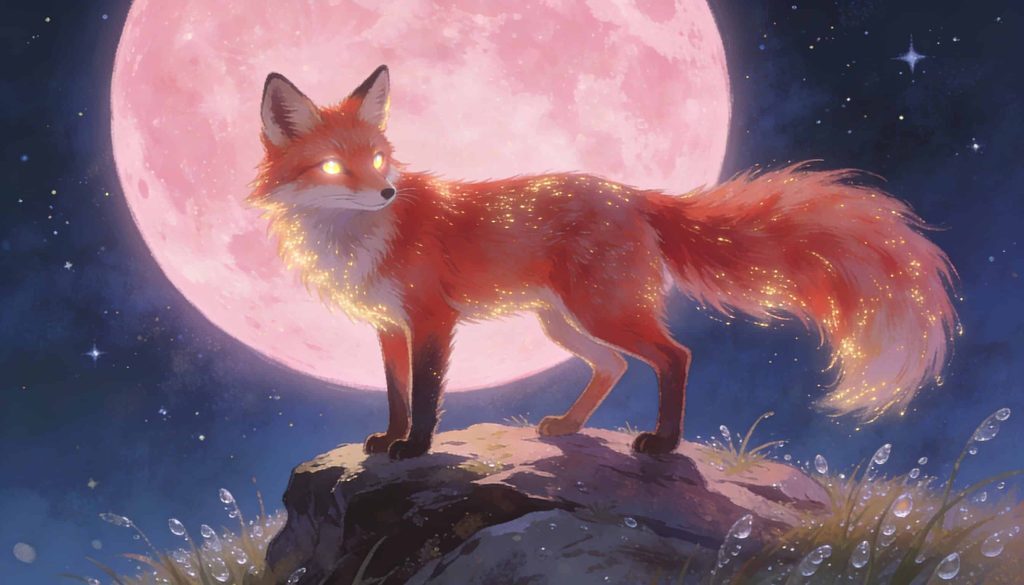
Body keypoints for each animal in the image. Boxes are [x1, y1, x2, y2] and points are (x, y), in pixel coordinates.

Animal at [247, 65, 957, 460]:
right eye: (336, 167)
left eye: (379, 159)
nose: (387, 193)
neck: (354, 237)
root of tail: (633, 194)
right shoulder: (389, 326)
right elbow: (396, 395)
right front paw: (387, 439)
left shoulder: (431, 320)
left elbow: (425, 399)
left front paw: (414, 450)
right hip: (563, 323)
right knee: (615, 366)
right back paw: (569, 426)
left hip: (601, 311)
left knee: (675, 357)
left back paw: (662, 445)